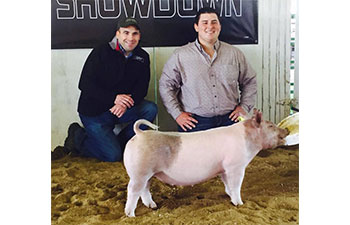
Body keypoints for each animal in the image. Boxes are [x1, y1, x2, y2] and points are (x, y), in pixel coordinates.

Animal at [123, 109, 288, 216]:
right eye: (271, 126)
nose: (286, 129)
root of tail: (140, 134)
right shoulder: (236, 166)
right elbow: (236, 185)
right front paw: (240, 203)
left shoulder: (224, 168)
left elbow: (227, 185)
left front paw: (230, 197)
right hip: (140, 172)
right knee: (132, 190)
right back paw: (130, 215)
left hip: (148, 174)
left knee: (144, 190)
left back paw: (153, 206)